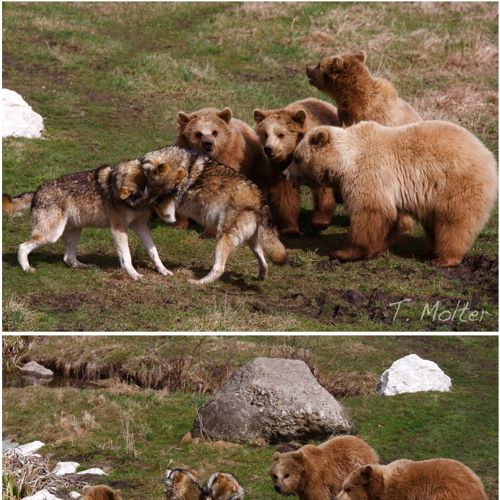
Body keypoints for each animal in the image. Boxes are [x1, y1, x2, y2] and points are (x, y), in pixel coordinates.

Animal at [254, 98, 340, 234]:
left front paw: (320, 222)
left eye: (281, 134)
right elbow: (285, 195)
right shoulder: (280, 167)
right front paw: (290, 229)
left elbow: (323, 191)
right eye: (265, 134)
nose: (268, 149)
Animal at [284, 121, 498, 268]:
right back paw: (429, 250)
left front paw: (343, 252)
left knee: (453, 221)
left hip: (455, 184)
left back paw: (445, 258)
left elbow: (370, 212)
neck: (345, 160)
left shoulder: (369, 173)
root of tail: (488, 155)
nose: (285, 173)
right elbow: (387, 217)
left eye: (296, 157)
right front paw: (376, 248)